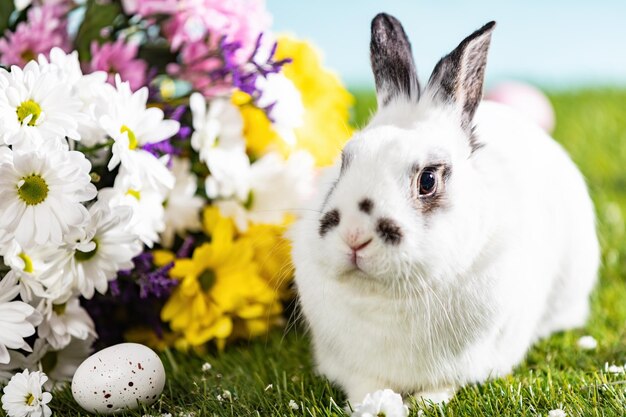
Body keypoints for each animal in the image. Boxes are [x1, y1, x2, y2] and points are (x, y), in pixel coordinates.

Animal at [290, 12, 596, 404]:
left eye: (428, 180)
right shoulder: (352, 367)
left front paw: (421, 404)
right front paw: (375, 404)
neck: (388, 298)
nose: (355, 236)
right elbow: (365, 386)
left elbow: (440, 388)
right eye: (345, 161)